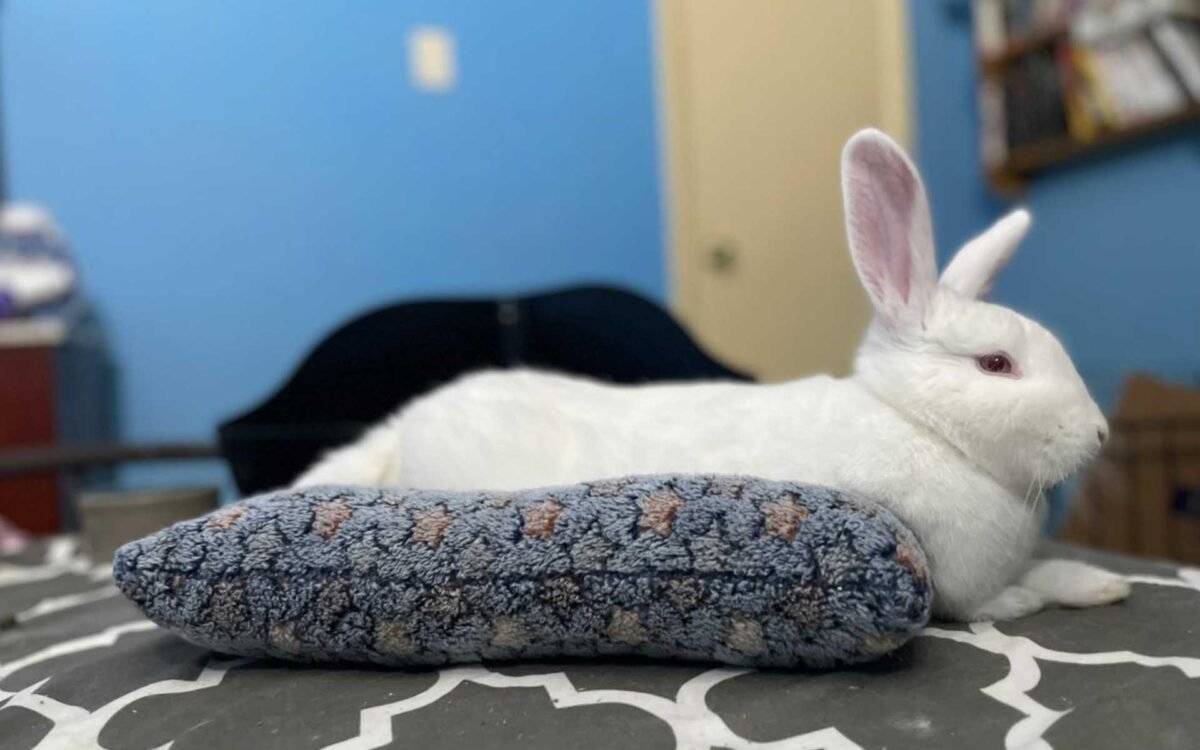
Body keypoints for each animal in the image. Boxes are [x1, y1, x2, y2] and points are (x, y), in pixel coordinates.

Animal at [294, 129, 1129, 622]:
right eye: (995, 364)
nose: (1099, 434)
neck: (915, 424)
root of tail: (405, 427)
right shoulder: (967, 594)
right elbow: (1022, 598)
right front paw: (1094, 585)